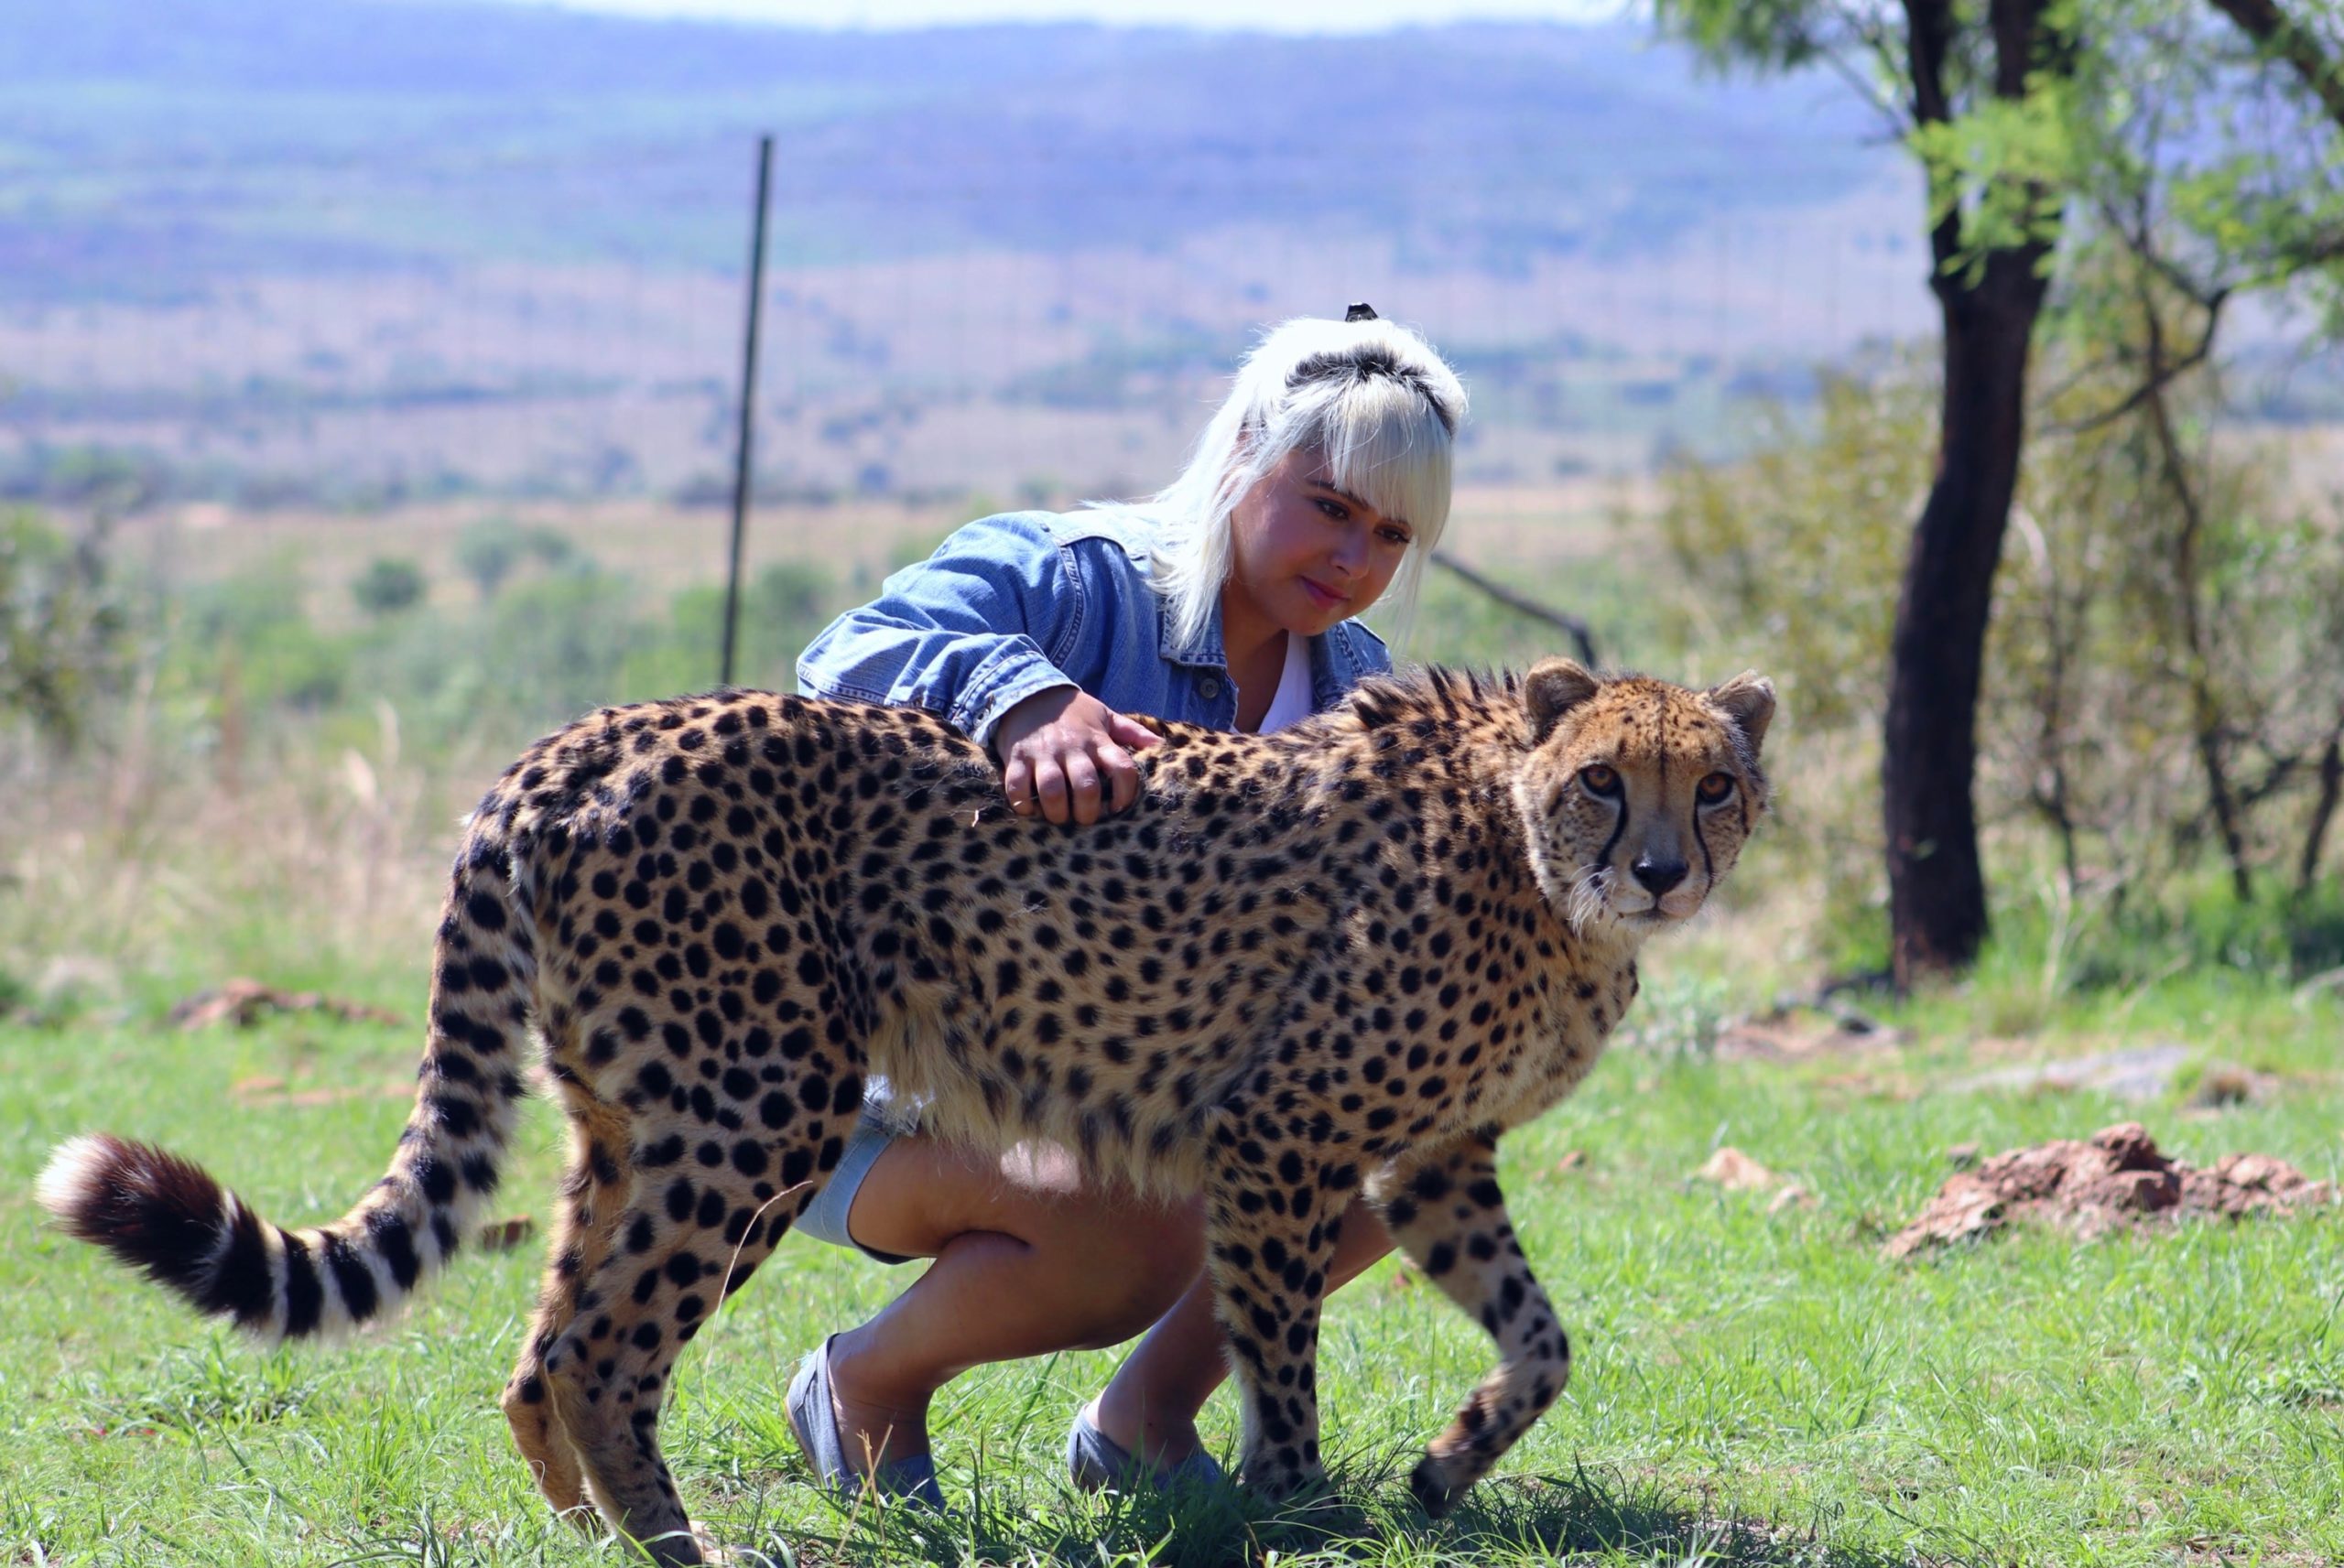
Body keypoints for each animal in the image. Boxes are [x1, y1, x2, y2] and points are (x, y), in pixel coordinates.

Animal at [37, 655, 1763, 1556]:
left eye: (1716, 780)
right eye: (1605, 776)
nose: (1664, 866)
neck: (1531, 858)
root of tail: (581, 735)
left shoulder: (1432, 1156)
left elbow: (1543, 1338)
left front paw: (1446, 1466)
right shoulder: (1285, 1133)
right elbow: (1283, 1360)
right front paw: (1299, 1510)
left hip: (627, 1117)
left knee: (541, 1338)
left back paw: (593, 1534)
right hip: (759, 1106)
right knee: (604, 1346)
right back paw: (682, 1546)